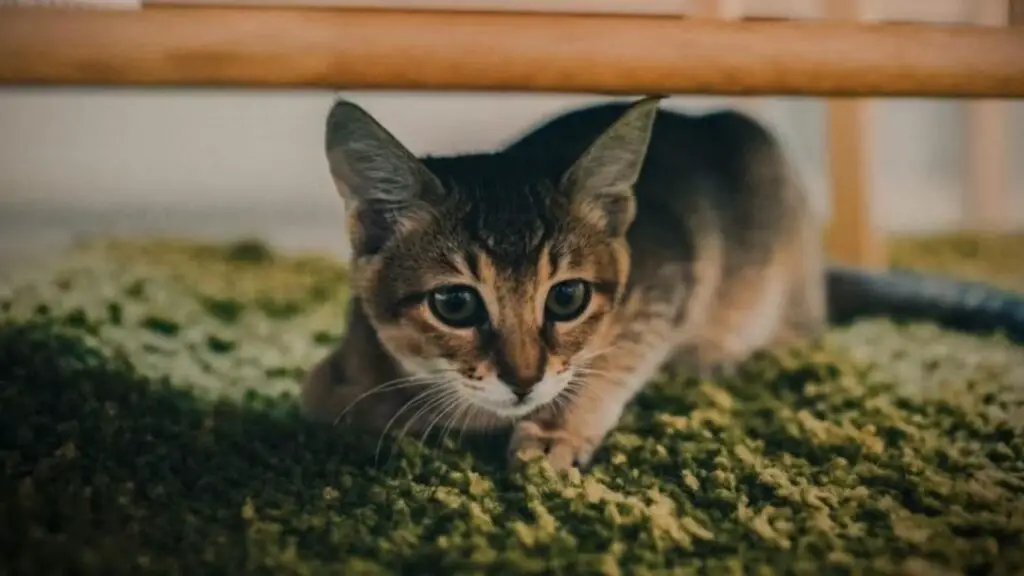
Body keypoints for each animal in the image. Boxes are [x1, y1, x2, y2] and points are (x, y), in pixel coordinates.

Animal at [299, 95, 1024, 471]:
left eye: (567, 297)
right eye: (454, 303)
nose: (524, 380)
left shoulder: (668, 281)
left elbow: (613, 361)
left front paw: (558, 430)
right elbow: (327, 395)